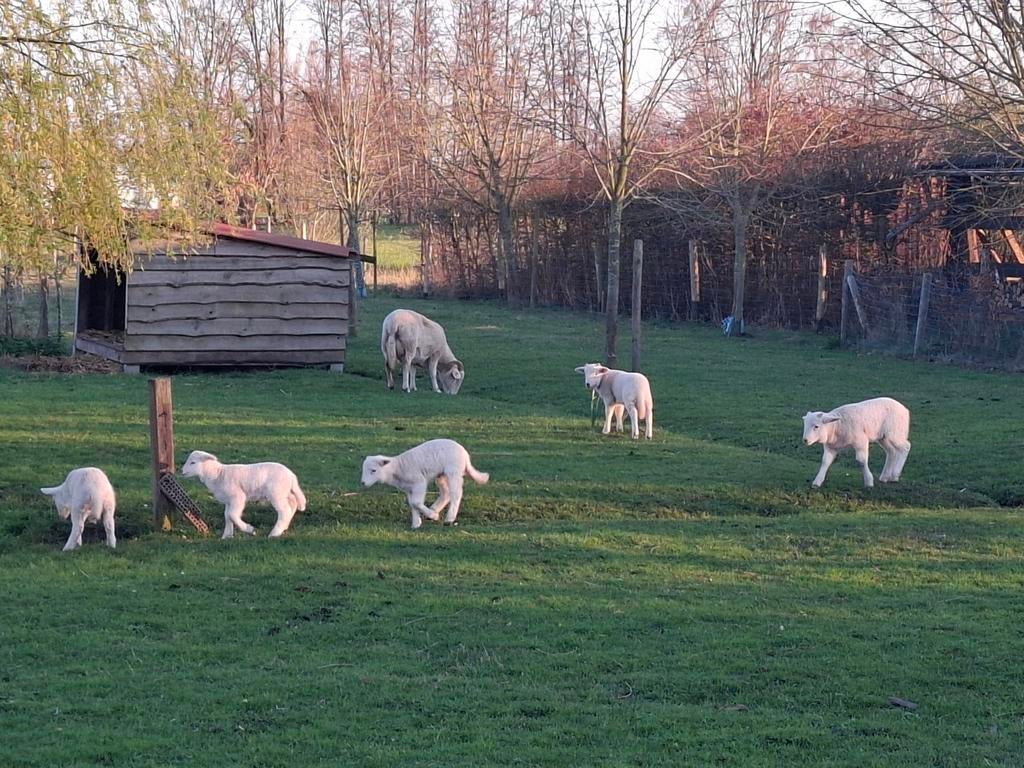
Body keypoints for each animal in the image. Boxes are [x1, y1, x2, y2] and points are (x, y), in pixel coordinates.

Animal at [361, 438, 489, 529]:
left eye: (373, 470)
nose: (363, 483)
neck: (397, 468)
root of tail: (466, 455)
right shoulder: (409, 488)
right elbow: (412, 504)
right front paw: (416, 523)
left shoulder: (419, 483)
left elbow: (416, 502)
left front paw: (432, 516)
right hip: (441, 475)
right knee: (446, 493)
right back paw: (434, 509)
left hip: (453, 471)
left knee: (456, 493)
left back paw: (449, 518)